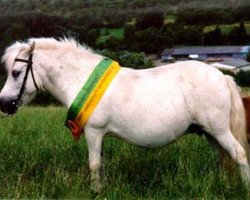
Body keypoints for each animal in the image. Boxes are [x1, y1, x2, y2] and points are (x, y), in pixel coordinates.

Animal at [0, 37, 249, 192]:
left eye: (16, 72)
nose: (3, 103)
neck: (82, 78)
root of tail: (222, 76)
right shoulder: (99, 135)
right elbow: (100, 163)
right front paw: (101, 189)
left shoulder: (93, 132)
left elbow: (93, 164)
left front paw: (95, 191)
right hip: (210, 133)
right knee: (223, 159)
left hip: (219, 130)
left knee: (239, 155)